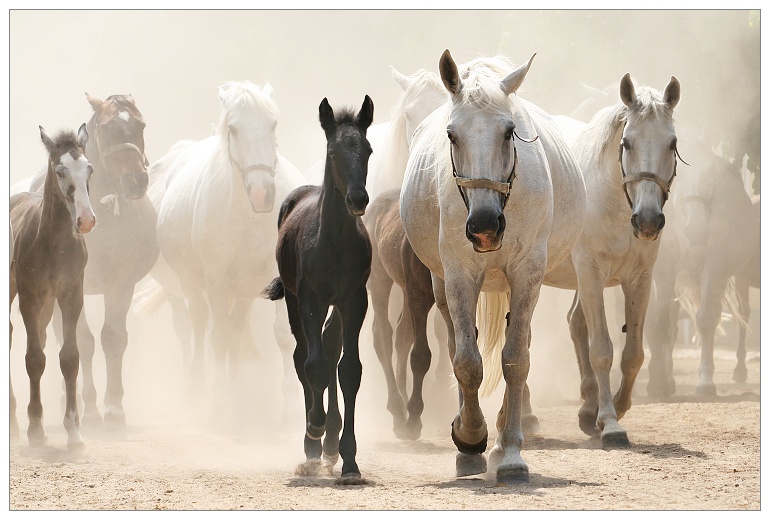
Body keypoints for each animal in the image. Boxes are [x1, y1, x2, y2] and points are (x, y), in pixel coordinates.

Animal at [10, 125, 96, 448]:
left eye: (89, 168)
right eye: (60, 171)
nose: (86, 220)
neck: (53, 242)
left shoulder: (71, 294)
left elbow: (69, 357)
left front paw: (74, 431)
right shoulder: (29, 297)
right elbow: (34, 358)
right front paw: (36, 428)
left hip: (48, 305)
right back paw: (13, 424)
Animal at [152, 81, 307, 416]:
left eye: (272, 124)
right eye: (233, 129)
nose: (262, 192)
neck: (249, 219)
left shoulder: (276, 278)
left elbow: (283, 335)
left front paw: (291, 404)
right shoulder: (217, 283)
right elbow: (218, 338)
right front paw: (219, 401)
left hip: (246, 289)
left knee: (235, 329)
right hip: (193, 284)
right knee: (200, 325)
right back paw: (200, 386)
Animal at [264, 95, 374, 483]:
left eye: (368, 150)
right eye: (333, 152)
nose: (358, 199)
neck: (335, 242)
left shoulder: (355, 299)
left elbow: (349, 370)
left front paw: (350, 460)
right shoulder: (310, 298)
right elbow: (314, 365)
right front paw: (314, 429)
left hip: (335, 307)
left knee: (330, 348)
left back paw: (329, 446)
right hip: (294, 301)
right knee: (304, 357)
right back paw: (314, 444)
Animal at [401, 50, 587, 484]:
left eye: (508, 132)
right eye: (452, 135)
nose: (485, 225)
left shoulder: (527, 274)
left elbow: (516, 359)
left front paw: (511, 454)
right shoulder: (458, 275)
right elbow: (467, 363)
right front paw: (470, 438)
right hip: (443, 285)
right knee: (458, 342)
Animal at [646, 132, 759, 396]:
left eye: (711, 183)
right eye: (680, 182)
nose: (696, 230)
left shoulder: (714, 267)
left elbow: (706, 319)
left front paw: (705, 380)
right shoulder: (666, 269)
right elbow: (661, 321)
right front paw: (657, 382)